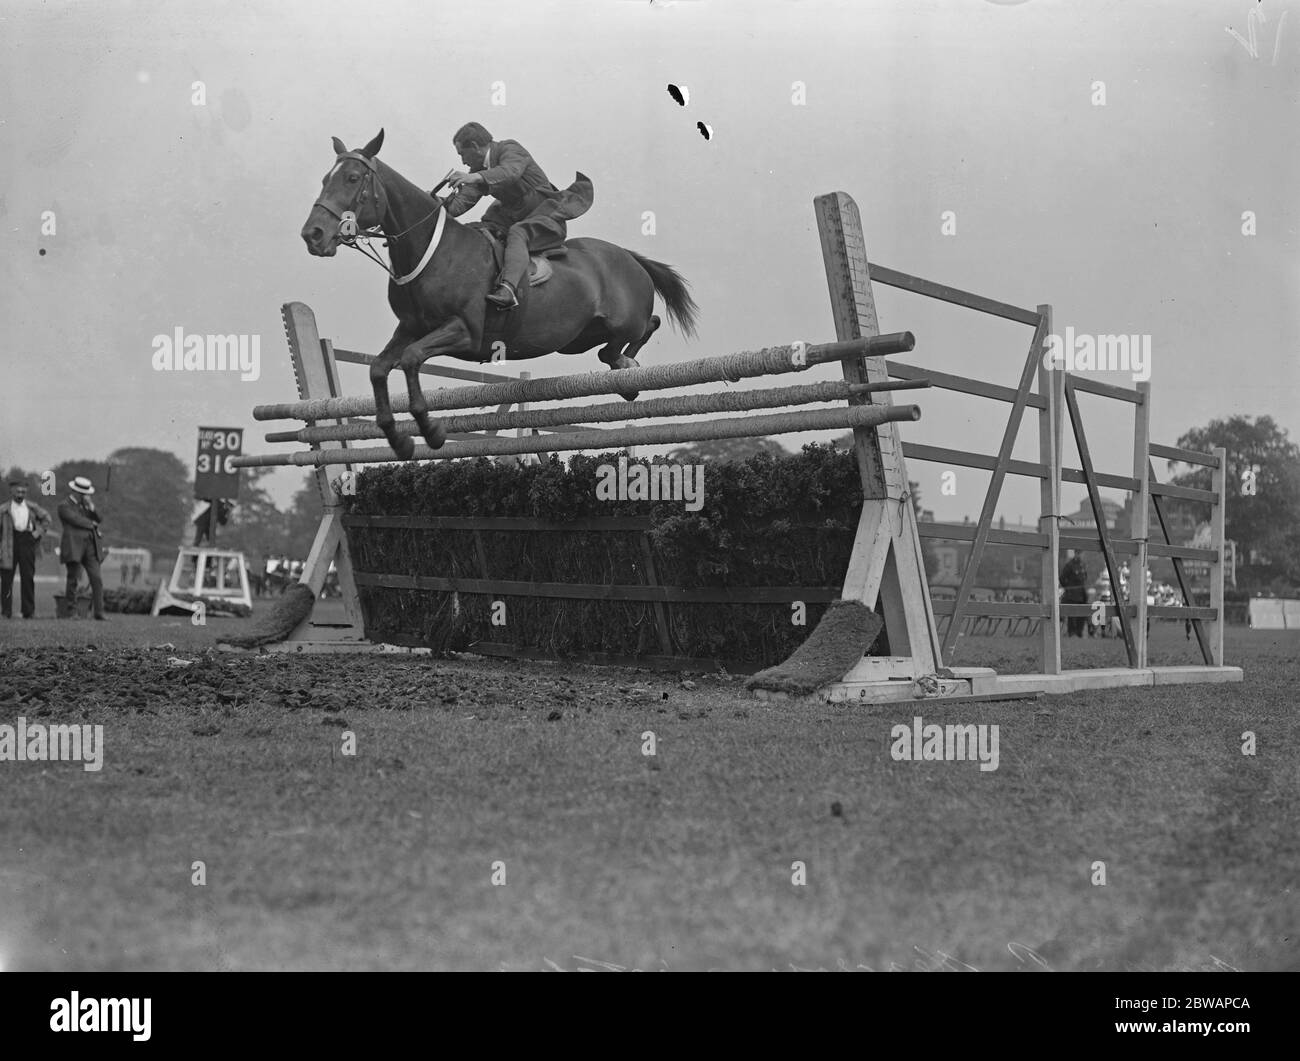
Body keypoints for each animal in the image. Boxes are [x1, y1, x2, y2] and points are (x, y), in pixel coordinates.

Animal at [300, 130, 702, 462]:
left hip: (621, 320)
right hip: (578, 339)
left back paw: (628, 368)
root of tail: (630, 256)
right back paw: (625, 368)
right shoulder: (410, 328)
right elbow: (380, 369)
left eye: (353, 179)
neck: (432, 250)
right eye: (323, 180)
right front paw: (399, 441)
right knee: (615, 345)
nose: (313, 235)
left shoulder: (465, 332)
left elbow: (412, 359)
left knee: (644, 326)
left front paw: (431, 431)